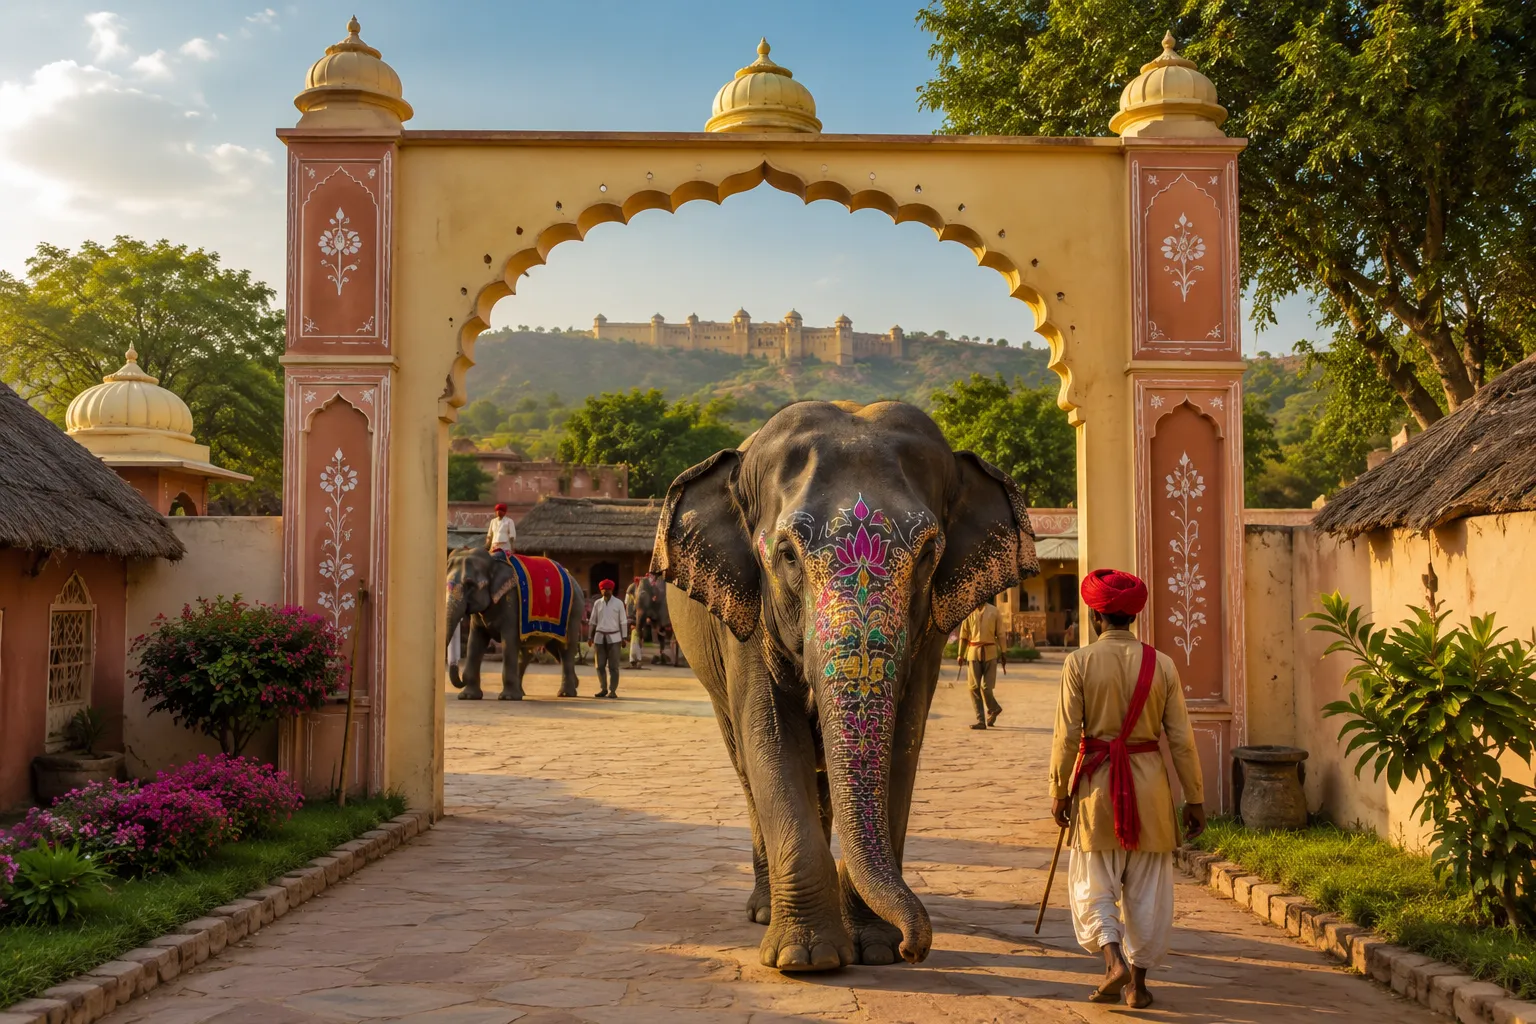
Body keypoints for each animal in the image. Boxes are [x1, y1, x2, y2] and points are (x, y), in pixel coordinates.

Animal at [446, 546, 587, 700]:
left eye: (470, 584)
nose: (462, 678)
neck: (492, 560)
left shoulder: (512, 600)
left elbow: (509, 641)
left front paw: (507, 698)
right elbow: (475, 642)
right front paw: (468, 696)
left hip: (574, 610)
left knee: (566, 648)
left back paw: (566, 693)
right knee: (532, 653)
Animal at [654, 400, 1038, 972]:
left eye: (929, 553)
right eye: (788, 554)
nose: (916, 947)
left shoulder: (929, 632)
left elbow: (904, 744)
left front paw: (876, 950)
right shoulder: (746, 620)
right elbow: (770, 738)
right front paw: (805, 960)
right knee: (746, 767)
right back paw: (764, 912)